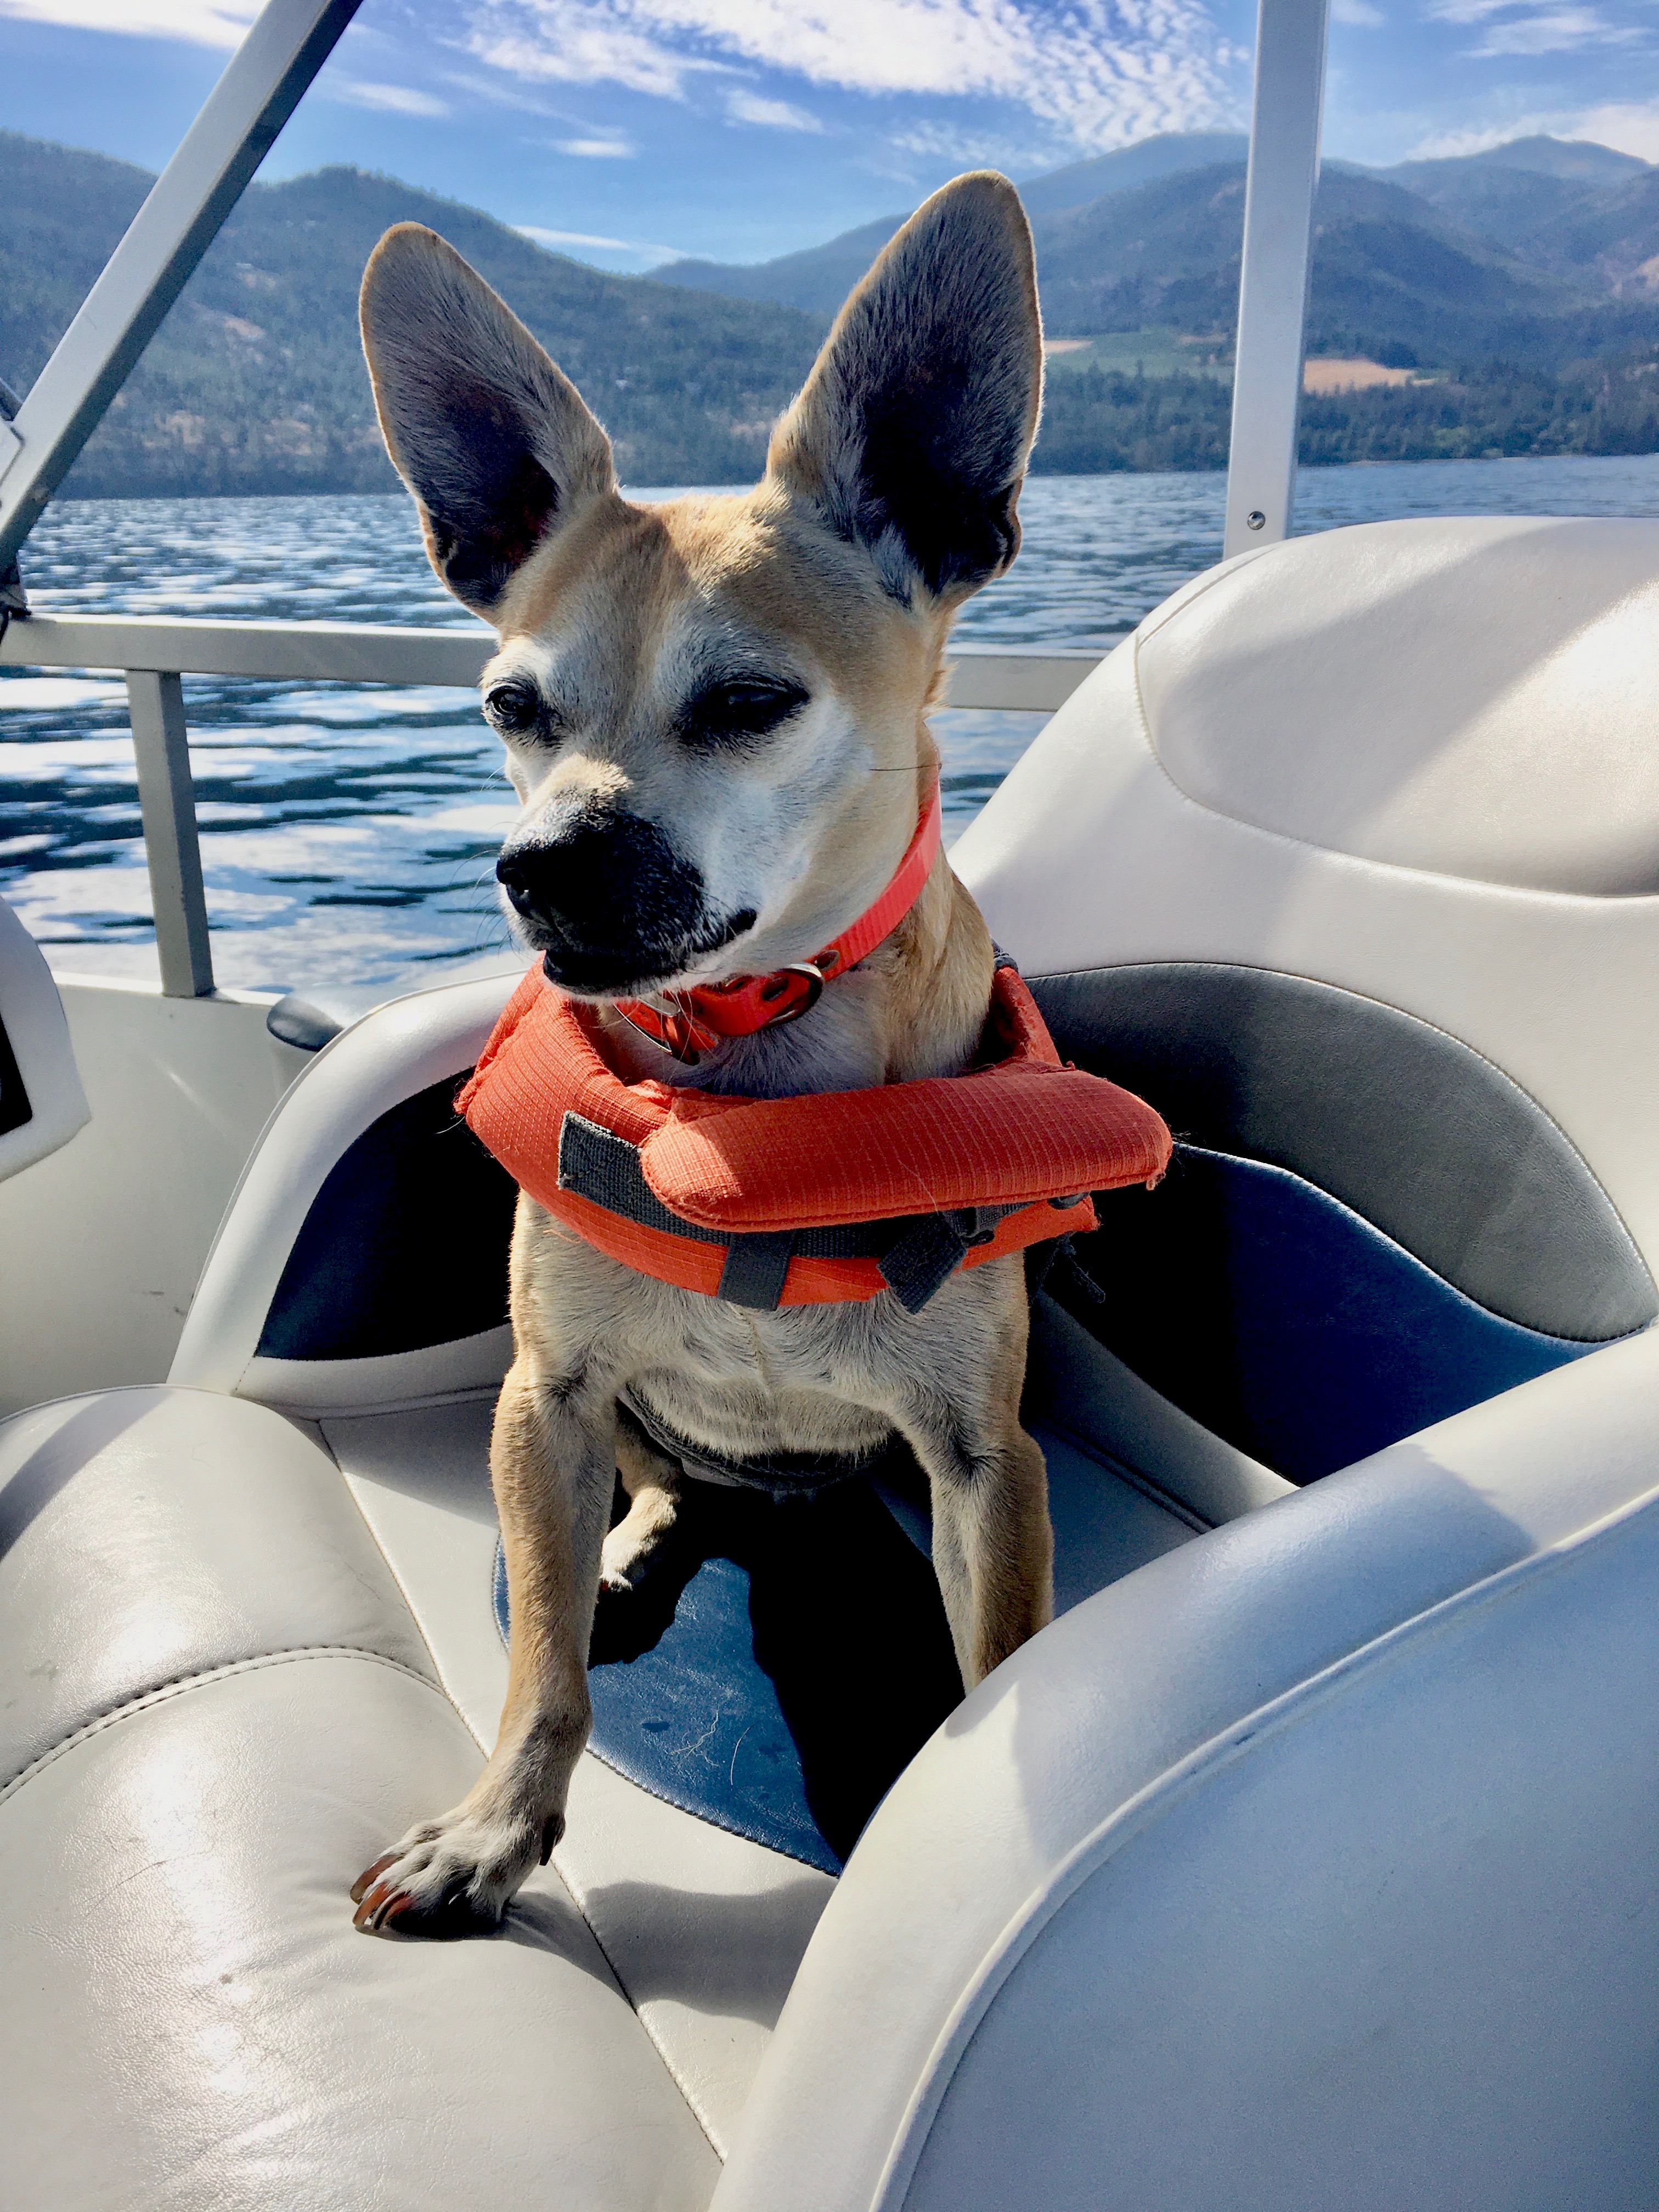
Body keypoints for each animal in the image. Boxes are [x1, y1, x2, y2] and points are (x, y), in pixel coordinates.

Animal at [354, 177, 1053, 1938]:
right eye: (511, 707)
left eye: (749, 703)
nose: (542, 865)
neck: (745, 1078)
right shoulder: (543, 1393)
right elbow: (539, 1669)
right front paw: (495, 1829)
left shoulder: (986, 1460)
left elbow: (1002, 1670)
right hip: (587, 1419)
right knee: (659, 1488)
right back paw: (631, 1545)